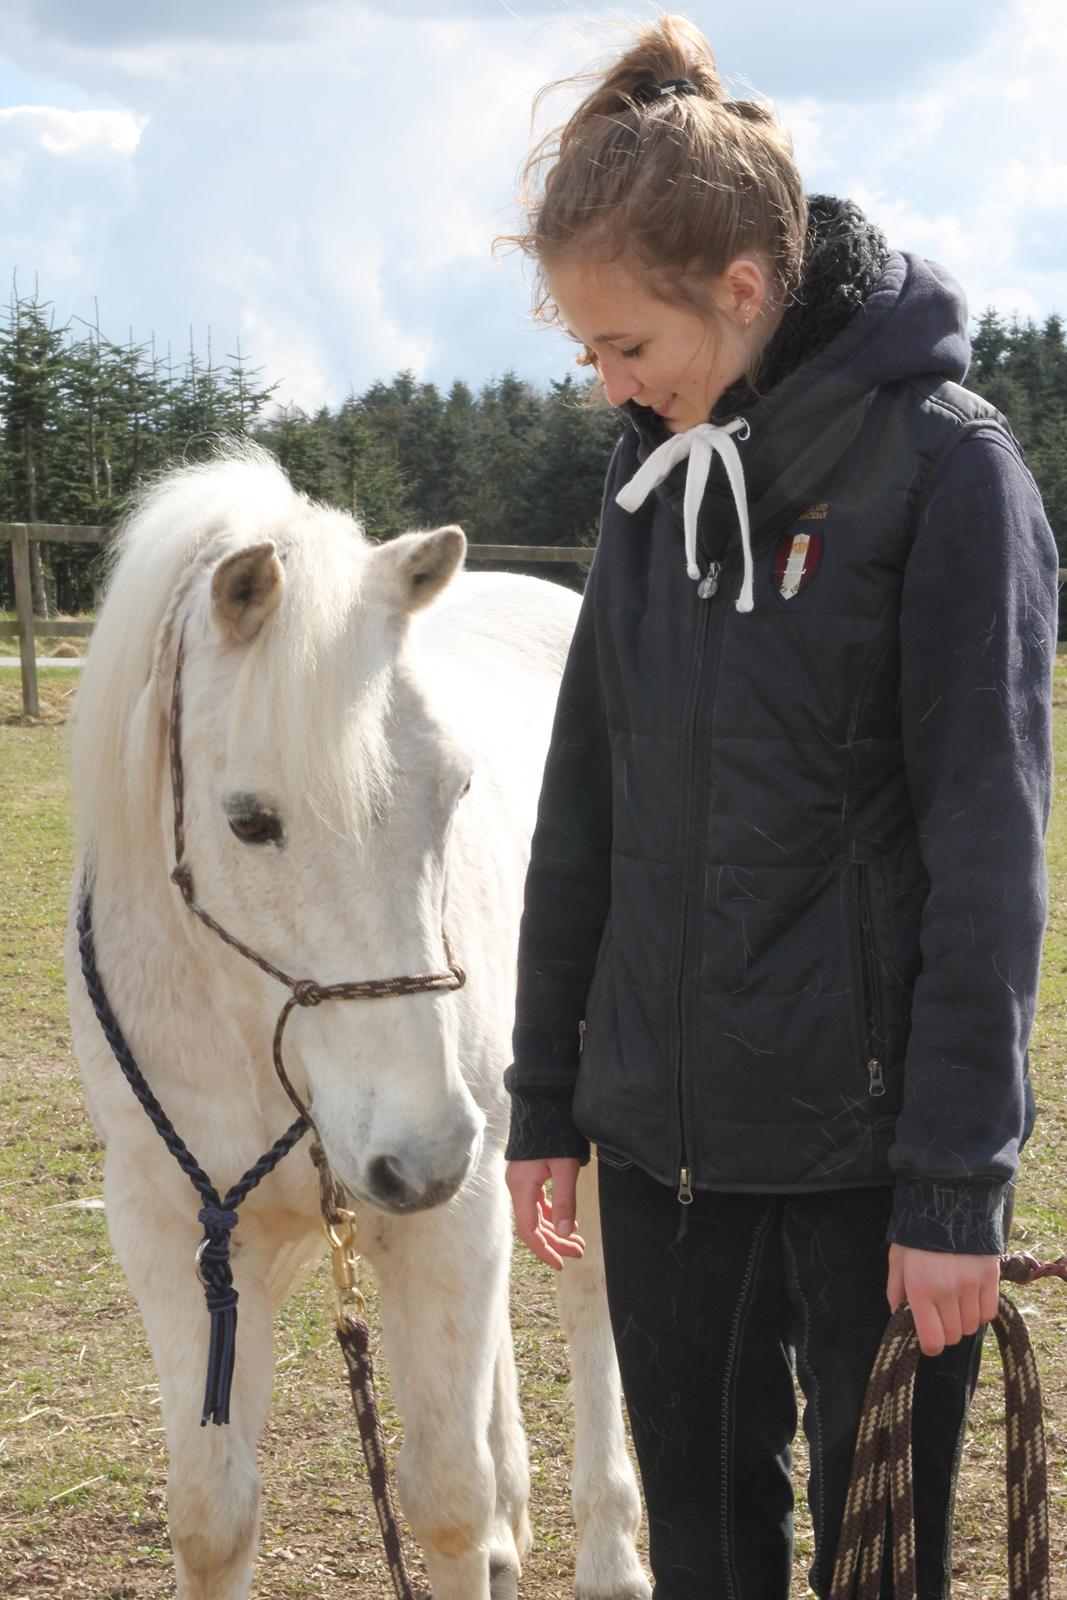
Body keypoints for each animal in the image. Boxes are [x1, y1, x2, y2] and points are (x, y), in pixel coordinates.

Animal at [66, 448, 652, 1600]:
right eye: (250, 821)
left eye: (458, 787)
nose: (423, 1155)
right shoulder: (175, 1233)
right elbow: (211, 1519)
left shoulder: (446, 1212)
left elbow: (445, 1504)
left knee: (591, 1299)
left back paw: (608, 1553)